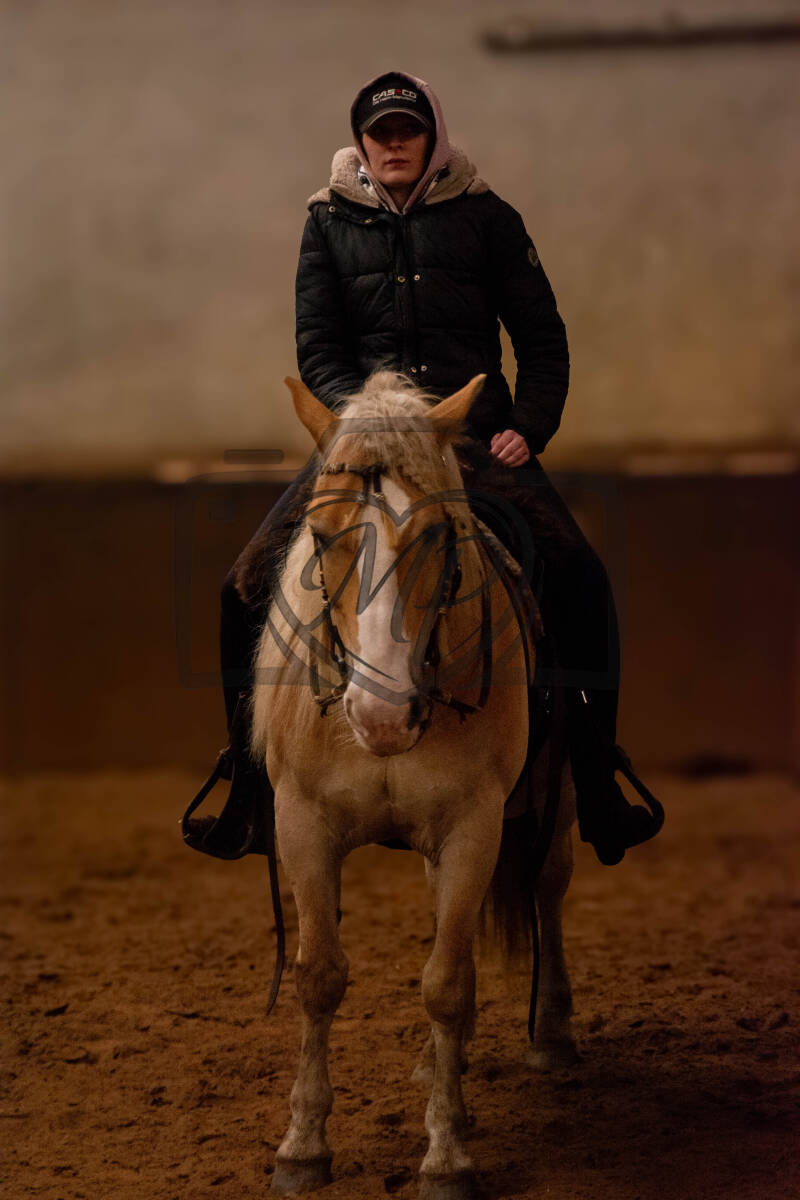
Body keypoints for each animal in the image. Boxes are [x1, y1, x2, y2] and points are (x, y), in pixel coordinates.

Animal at [250, 370, 577, 1199]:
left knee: (546, 889)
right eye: (323, 536)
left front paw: (447, 1157)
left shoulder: (473, 828)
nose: (382, 715)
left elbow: (445, 985)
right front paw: (302, 1147)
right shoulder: (303, 823)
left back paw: (550, 1036)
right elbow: (319, 976)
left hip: (552, 808)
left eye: (436, 536)